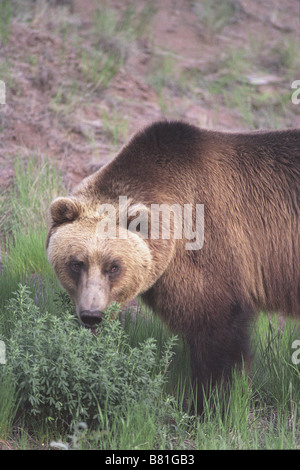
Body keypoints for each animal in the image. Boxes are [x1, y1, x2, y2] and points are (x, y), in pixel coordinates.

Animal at [47, 120, 300, 412]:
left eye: (113, 266)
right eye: (77, 263)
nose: (91, 315)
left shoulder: (213, 250)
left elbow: (219, 336)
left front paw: (208, 404)